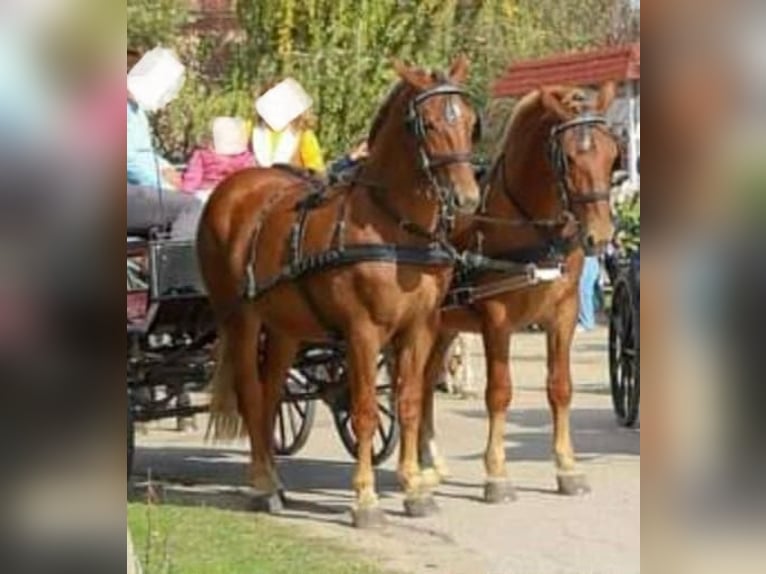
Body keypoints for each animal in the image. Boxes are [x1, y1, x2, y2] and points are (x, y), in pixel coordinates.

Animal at [196, 57, 481, 528]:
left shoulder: (419, 329)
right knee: (252, 394)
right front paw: (365, 498)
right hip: (240, 320)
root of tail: (232, 190)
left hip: (285, 328)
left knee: (272, 394)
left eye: (471, 122)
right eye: (428, 123)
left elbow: (408, 402)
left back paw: (275, 480)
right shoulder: (363, 332)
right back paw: (261, 484)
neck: (394, 227)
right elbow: (365, 409)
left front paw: (413, 488)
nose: (467, 199)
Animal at [419, 82, 619, 501]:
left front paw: (568, 467)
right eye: (569, 158)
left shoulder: (563, 314)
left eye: (612, 157)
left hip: (443, 327)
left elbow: (560, 388)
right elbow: (500, 391)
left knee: (424, 383)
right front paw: (496, 474)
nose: (601, 236)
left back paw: (431, 461)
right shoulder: (497, 319)